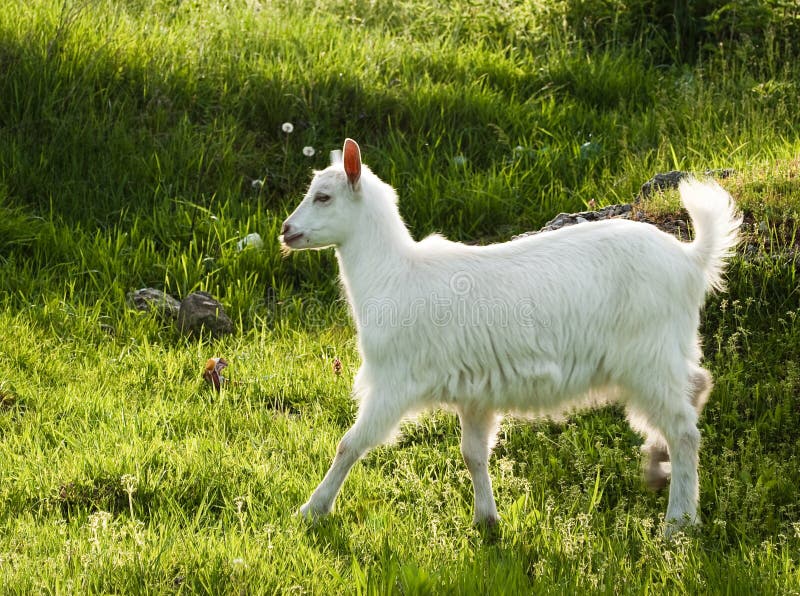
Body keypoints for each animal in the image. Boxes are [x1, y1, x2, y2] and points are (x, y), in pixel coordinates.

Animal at [282, 139, 744, 536]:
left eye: (323, 196)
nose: (286, 231)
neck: (395, 274)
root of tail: (691, 258)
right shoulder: (473, 391)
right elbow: (473, 455)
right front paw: (487, 521)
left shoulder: (395, 381)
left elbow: (350, 444)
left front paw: (311, 510)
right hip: (668, 350)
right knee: (698, 385)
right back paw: (656, 465)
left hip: (648, 356)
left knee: (684, 430)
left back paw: (678, 521)